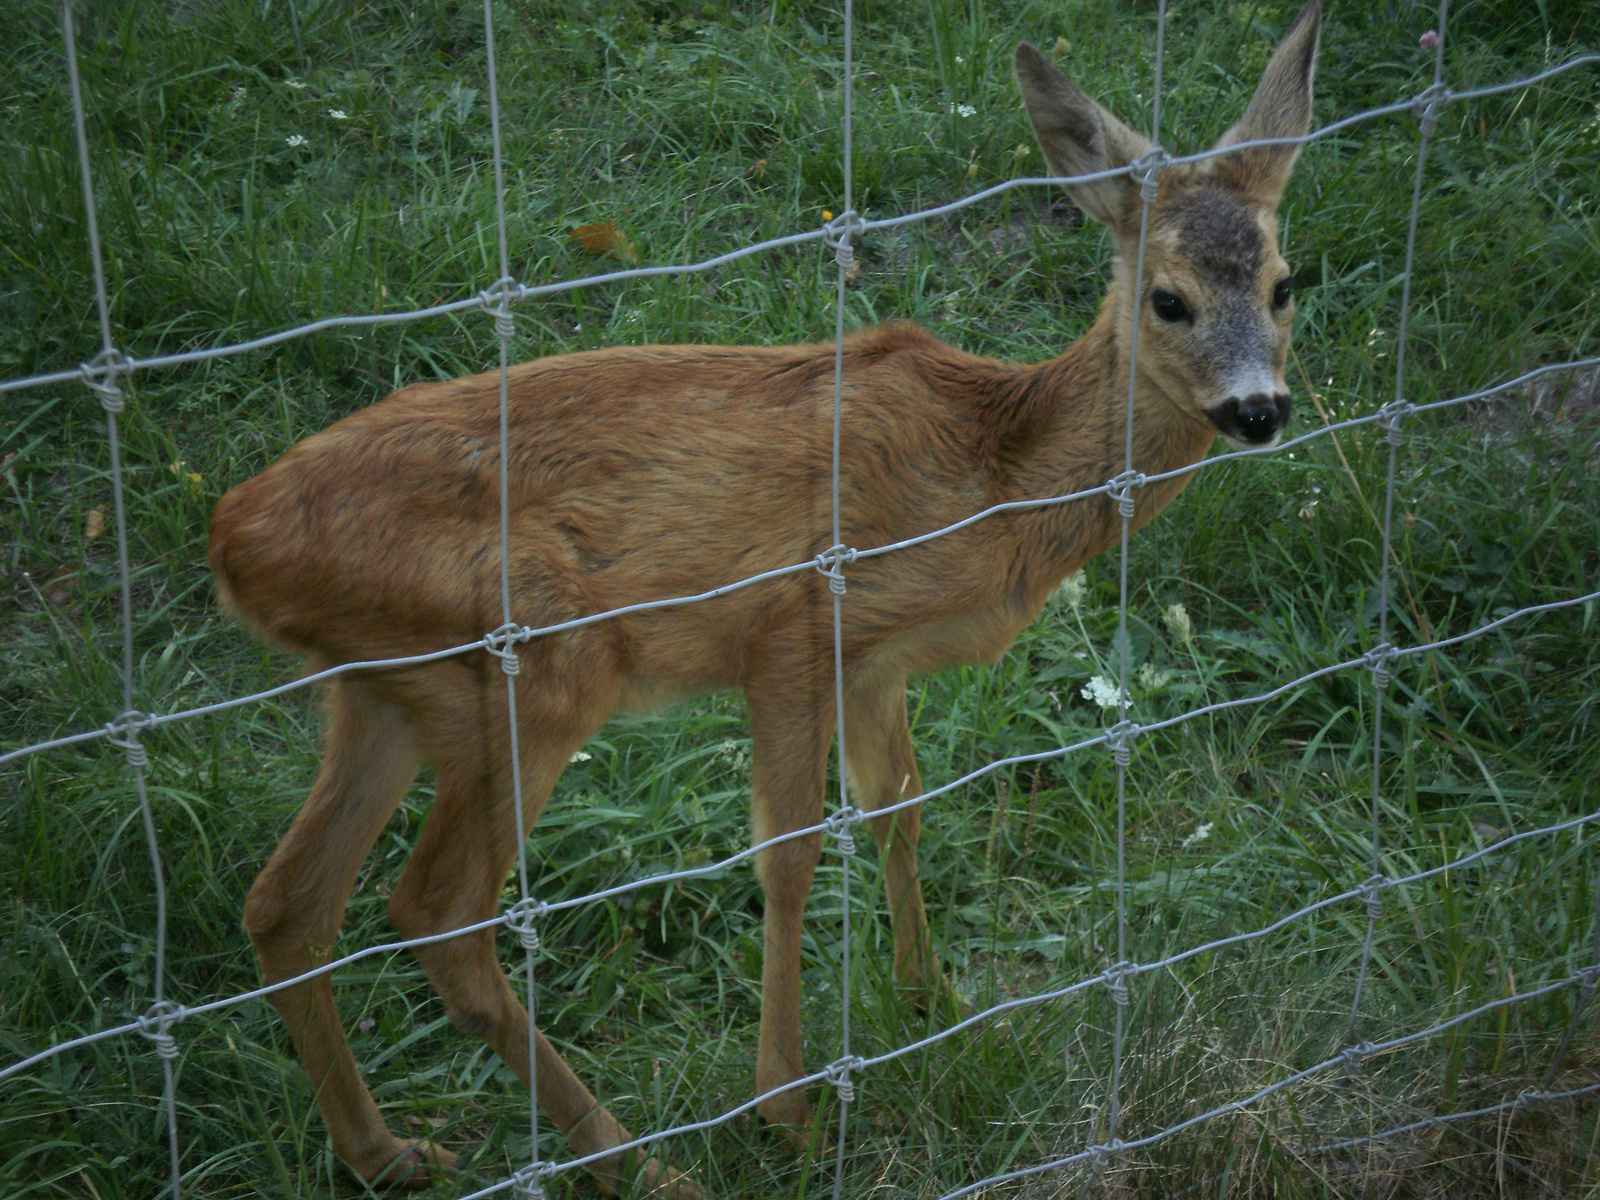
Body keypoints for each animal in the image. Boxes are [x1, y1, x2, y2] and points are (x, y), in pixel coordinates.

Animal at [206, 4, 1318, 1196]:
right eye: (1170, 299)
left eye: (1284, 284)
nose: (1258, 410)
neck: (990, 473)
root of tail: (232, 538)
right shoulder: (792, 626)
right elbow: (787, 853)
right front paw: (786, 1108)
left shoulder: (875, 658)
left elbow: (899, 806)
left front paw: (932, 999)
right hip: (535, 660)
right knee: (437, 912)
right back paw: (639, 1164)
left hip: (385, 692)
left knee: (288, 902)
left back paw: (387, 1152)